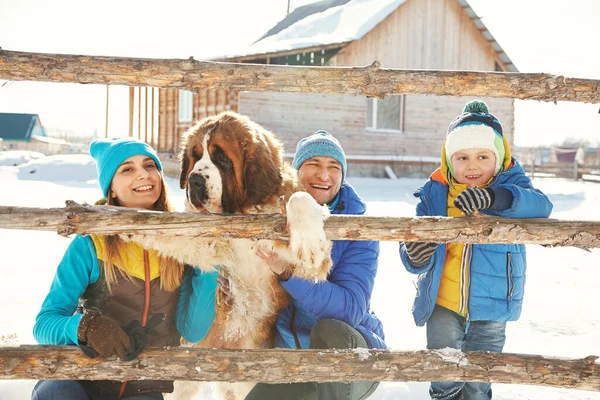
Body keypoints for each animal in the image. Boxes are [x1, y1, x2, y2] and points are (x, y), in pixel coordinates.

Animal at [129, 111, 332, 398]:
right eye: (194, 156)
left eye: (222, 158)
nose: (194, 180)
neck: (242, 211)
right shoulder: (211, 245)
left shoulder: (307, 268)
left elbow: (300, 200)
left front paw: (309, 239)